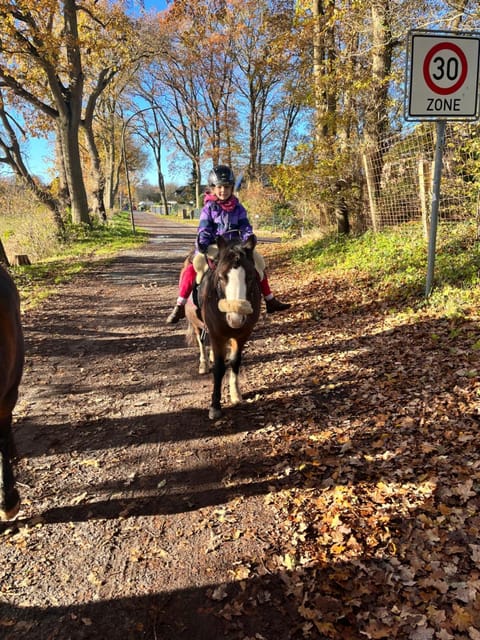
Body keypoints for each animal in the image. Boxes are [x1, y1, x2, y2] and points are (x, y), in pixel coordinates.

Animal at [186, 235, 260, 420]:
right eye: (220, 277)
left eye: (250, 277)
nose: (235, 318)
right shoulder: (217, 335)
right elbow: (219, 368)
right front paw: (215, 406)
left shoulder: (242, 335)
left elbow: (234, 362)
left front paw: (236, 395)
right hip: (196, 324)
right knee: (201, 342)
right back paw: (204, 364)